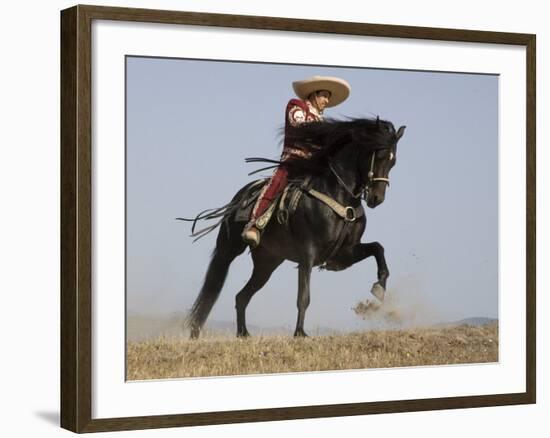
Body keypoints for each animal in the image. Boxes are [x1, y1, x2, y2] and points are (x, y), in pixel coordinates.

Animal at [180, 117, 406, 338]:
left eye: (393, 161)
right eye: (380, 155)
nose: (377, 198)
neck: (339, 197)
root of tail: (239, 198)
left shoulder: (346, 253)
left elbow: (378, 248)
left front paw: (379, 288)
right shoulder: (308, 254)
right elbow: (303, 296)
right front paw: (300, 333)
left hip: (267, 264)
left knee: (241, 297)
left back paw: (243, 334)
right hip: (230, 249)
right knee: (214, 286)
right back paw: (199, 331)